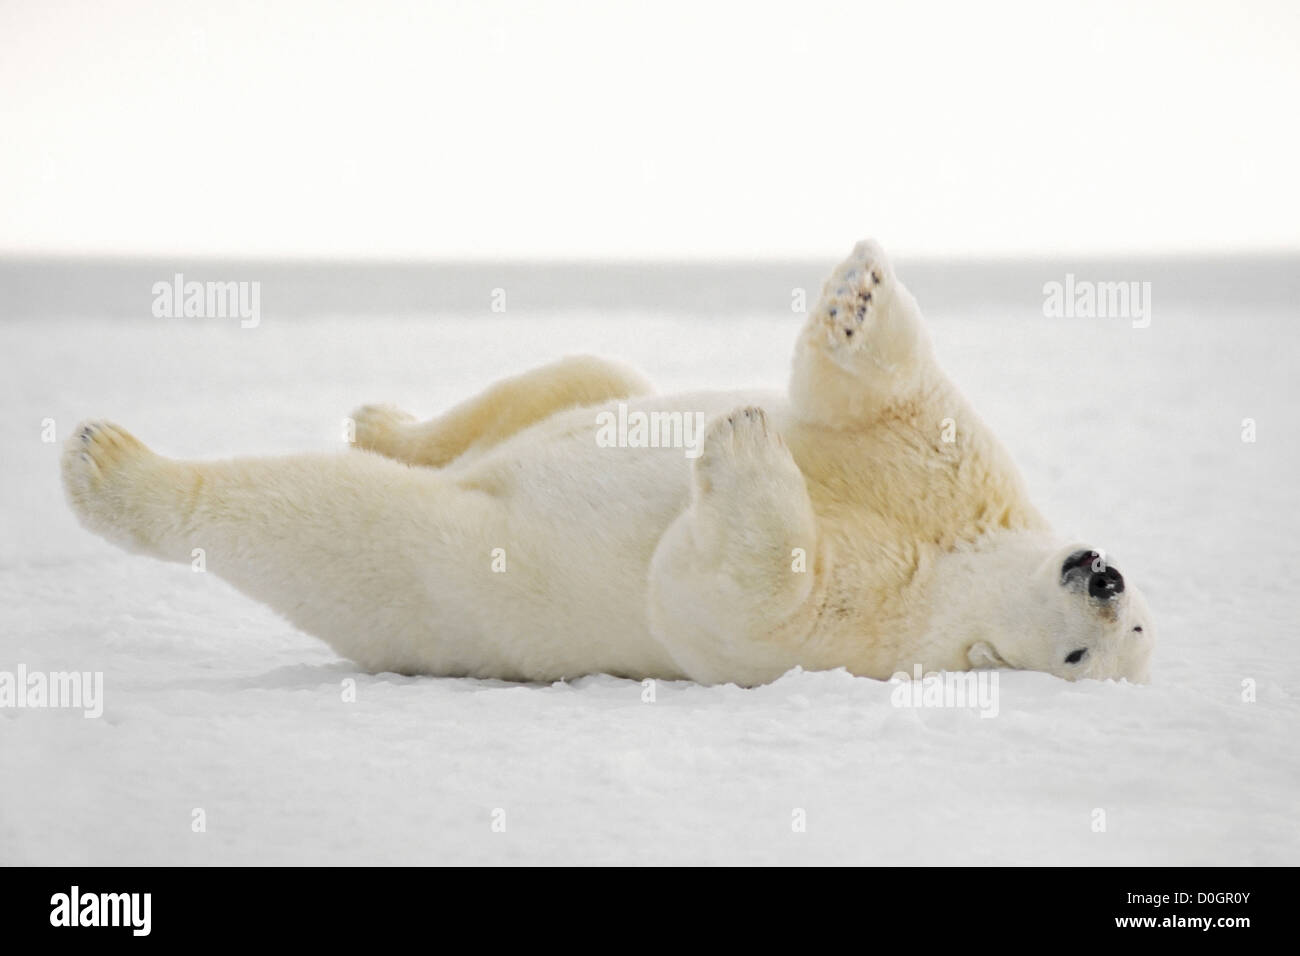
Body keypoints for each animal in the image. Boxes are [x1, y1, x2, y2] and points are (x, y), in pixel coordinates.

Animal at [61, 240, 1155, 686]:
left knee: (344, 518)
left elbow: (713, 598)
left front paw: (744, 447)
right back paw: (383, 422)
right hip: (588, 395)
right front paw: (857, 295)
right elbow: (884, 402)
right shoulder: (960, 482)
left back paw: (110, 467)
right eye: (1134, 609)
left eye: (1092, 654)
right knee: (580, 374)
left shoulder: (869, 628)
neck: (946, 555)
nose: (1101, 573)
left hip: (434, 578)